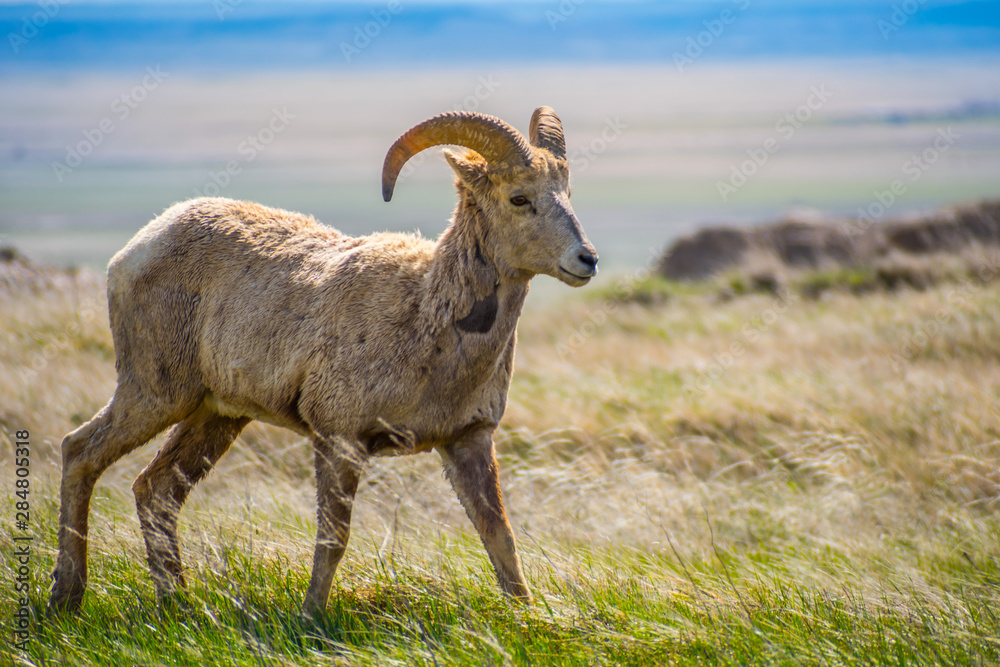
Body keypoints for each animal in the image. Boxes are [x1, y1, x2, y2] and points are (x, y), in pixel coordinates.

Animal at [48, 107, 599, 614]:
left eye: (567, 194)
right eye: (519, 198)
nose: (586, 260)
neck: (424, 318)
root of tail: (135, 250)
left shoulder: (468, 442)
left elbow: (499, 540)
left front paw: (527, 616)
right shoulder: (339, 439)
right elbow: (334, 539)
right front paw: (311, 617)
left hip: (217, 415)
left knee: (155, 489)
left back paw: (176, 603)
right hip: (156, 393)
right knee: (81, 452)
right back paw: (67, 599)